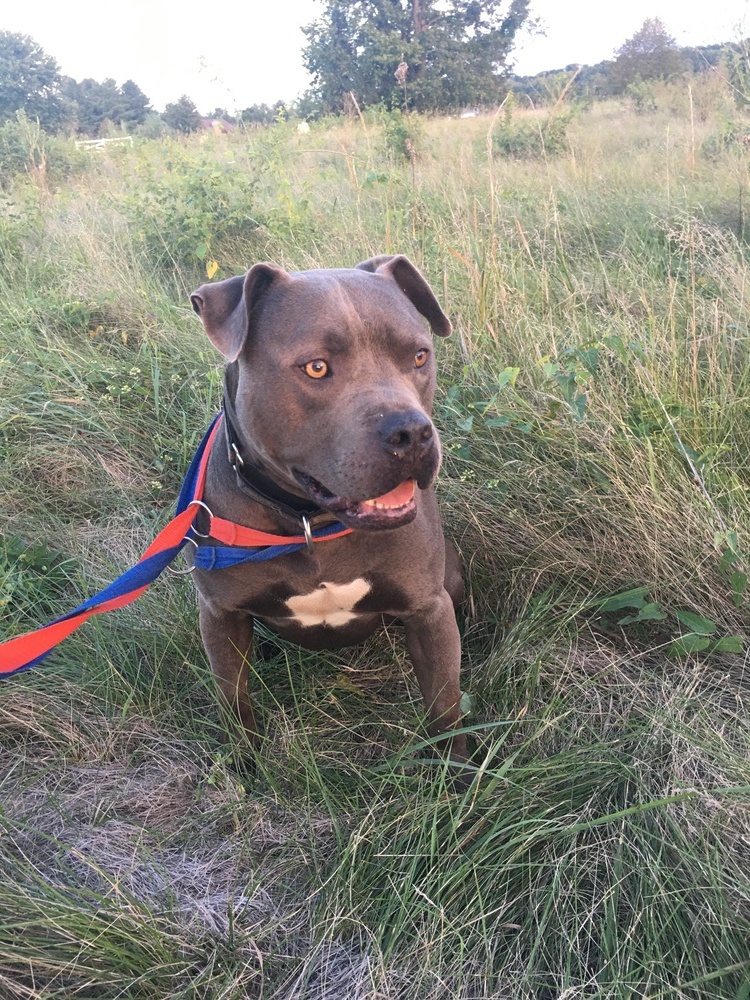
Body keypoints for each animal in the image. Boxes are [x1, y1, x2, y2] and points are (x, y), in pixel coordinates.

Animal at [191, 254, 468, 760]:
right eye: (317, 367)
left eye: (419, 356)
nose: (413, 433)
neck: (308, 520)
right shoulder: (219, 615)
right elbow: (234, 699)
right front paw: (246, 765)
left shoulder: (428, 610)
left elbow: (445, 708)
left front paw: (458, 770)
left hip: (451, 576)